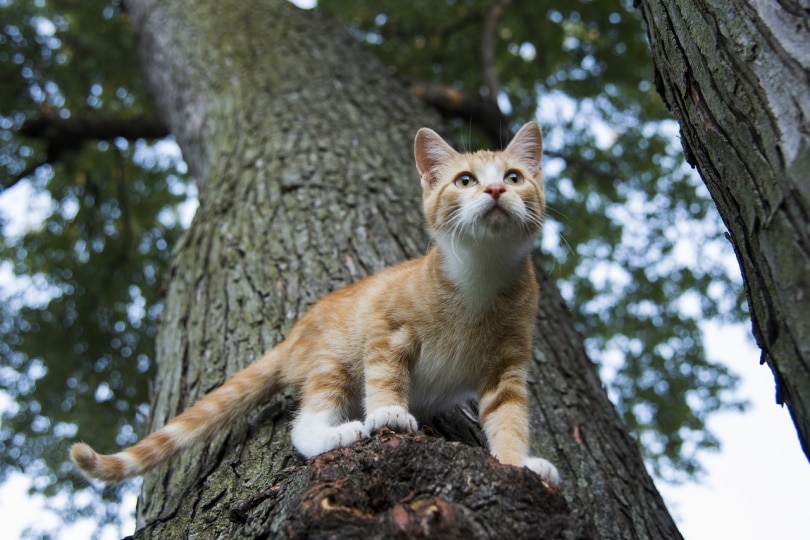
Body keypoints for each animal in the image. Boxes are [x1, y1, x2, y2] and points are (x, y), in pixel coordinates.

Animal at [72, 121, 560, 486]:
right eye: (465, 180)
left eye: (513, 177)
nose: (495, 190)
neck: (479, 277)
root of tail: (293, 335)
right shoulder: (384, 325)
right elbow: (385, 373)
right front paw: (388, 410)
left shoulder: (507, 365)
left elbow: (509, 415)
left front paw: (518, 462)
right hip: (333, 358)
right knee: (305, 423)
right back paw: (336, 433)